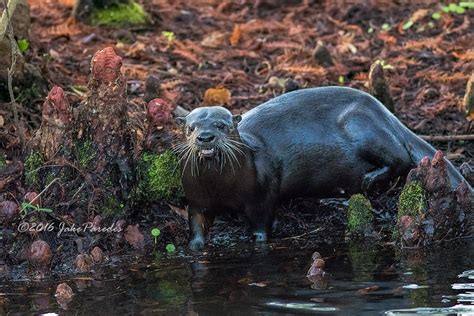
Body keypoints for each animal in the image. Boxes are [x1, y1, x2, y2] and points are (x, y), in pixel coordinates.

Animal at [176, 85, 472, 251]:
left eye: (222, 125)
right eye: (191, 127)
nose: (205, 136)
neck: (221, 188)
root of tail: (386, 112)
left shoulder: (262, 195)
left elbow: (262, 225)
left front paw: (259, 243)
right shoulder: (196, 200)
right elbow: (196, 225)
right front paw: (193, 247)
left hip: (362, 126)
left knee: (398, 156)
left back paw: (367, 180)